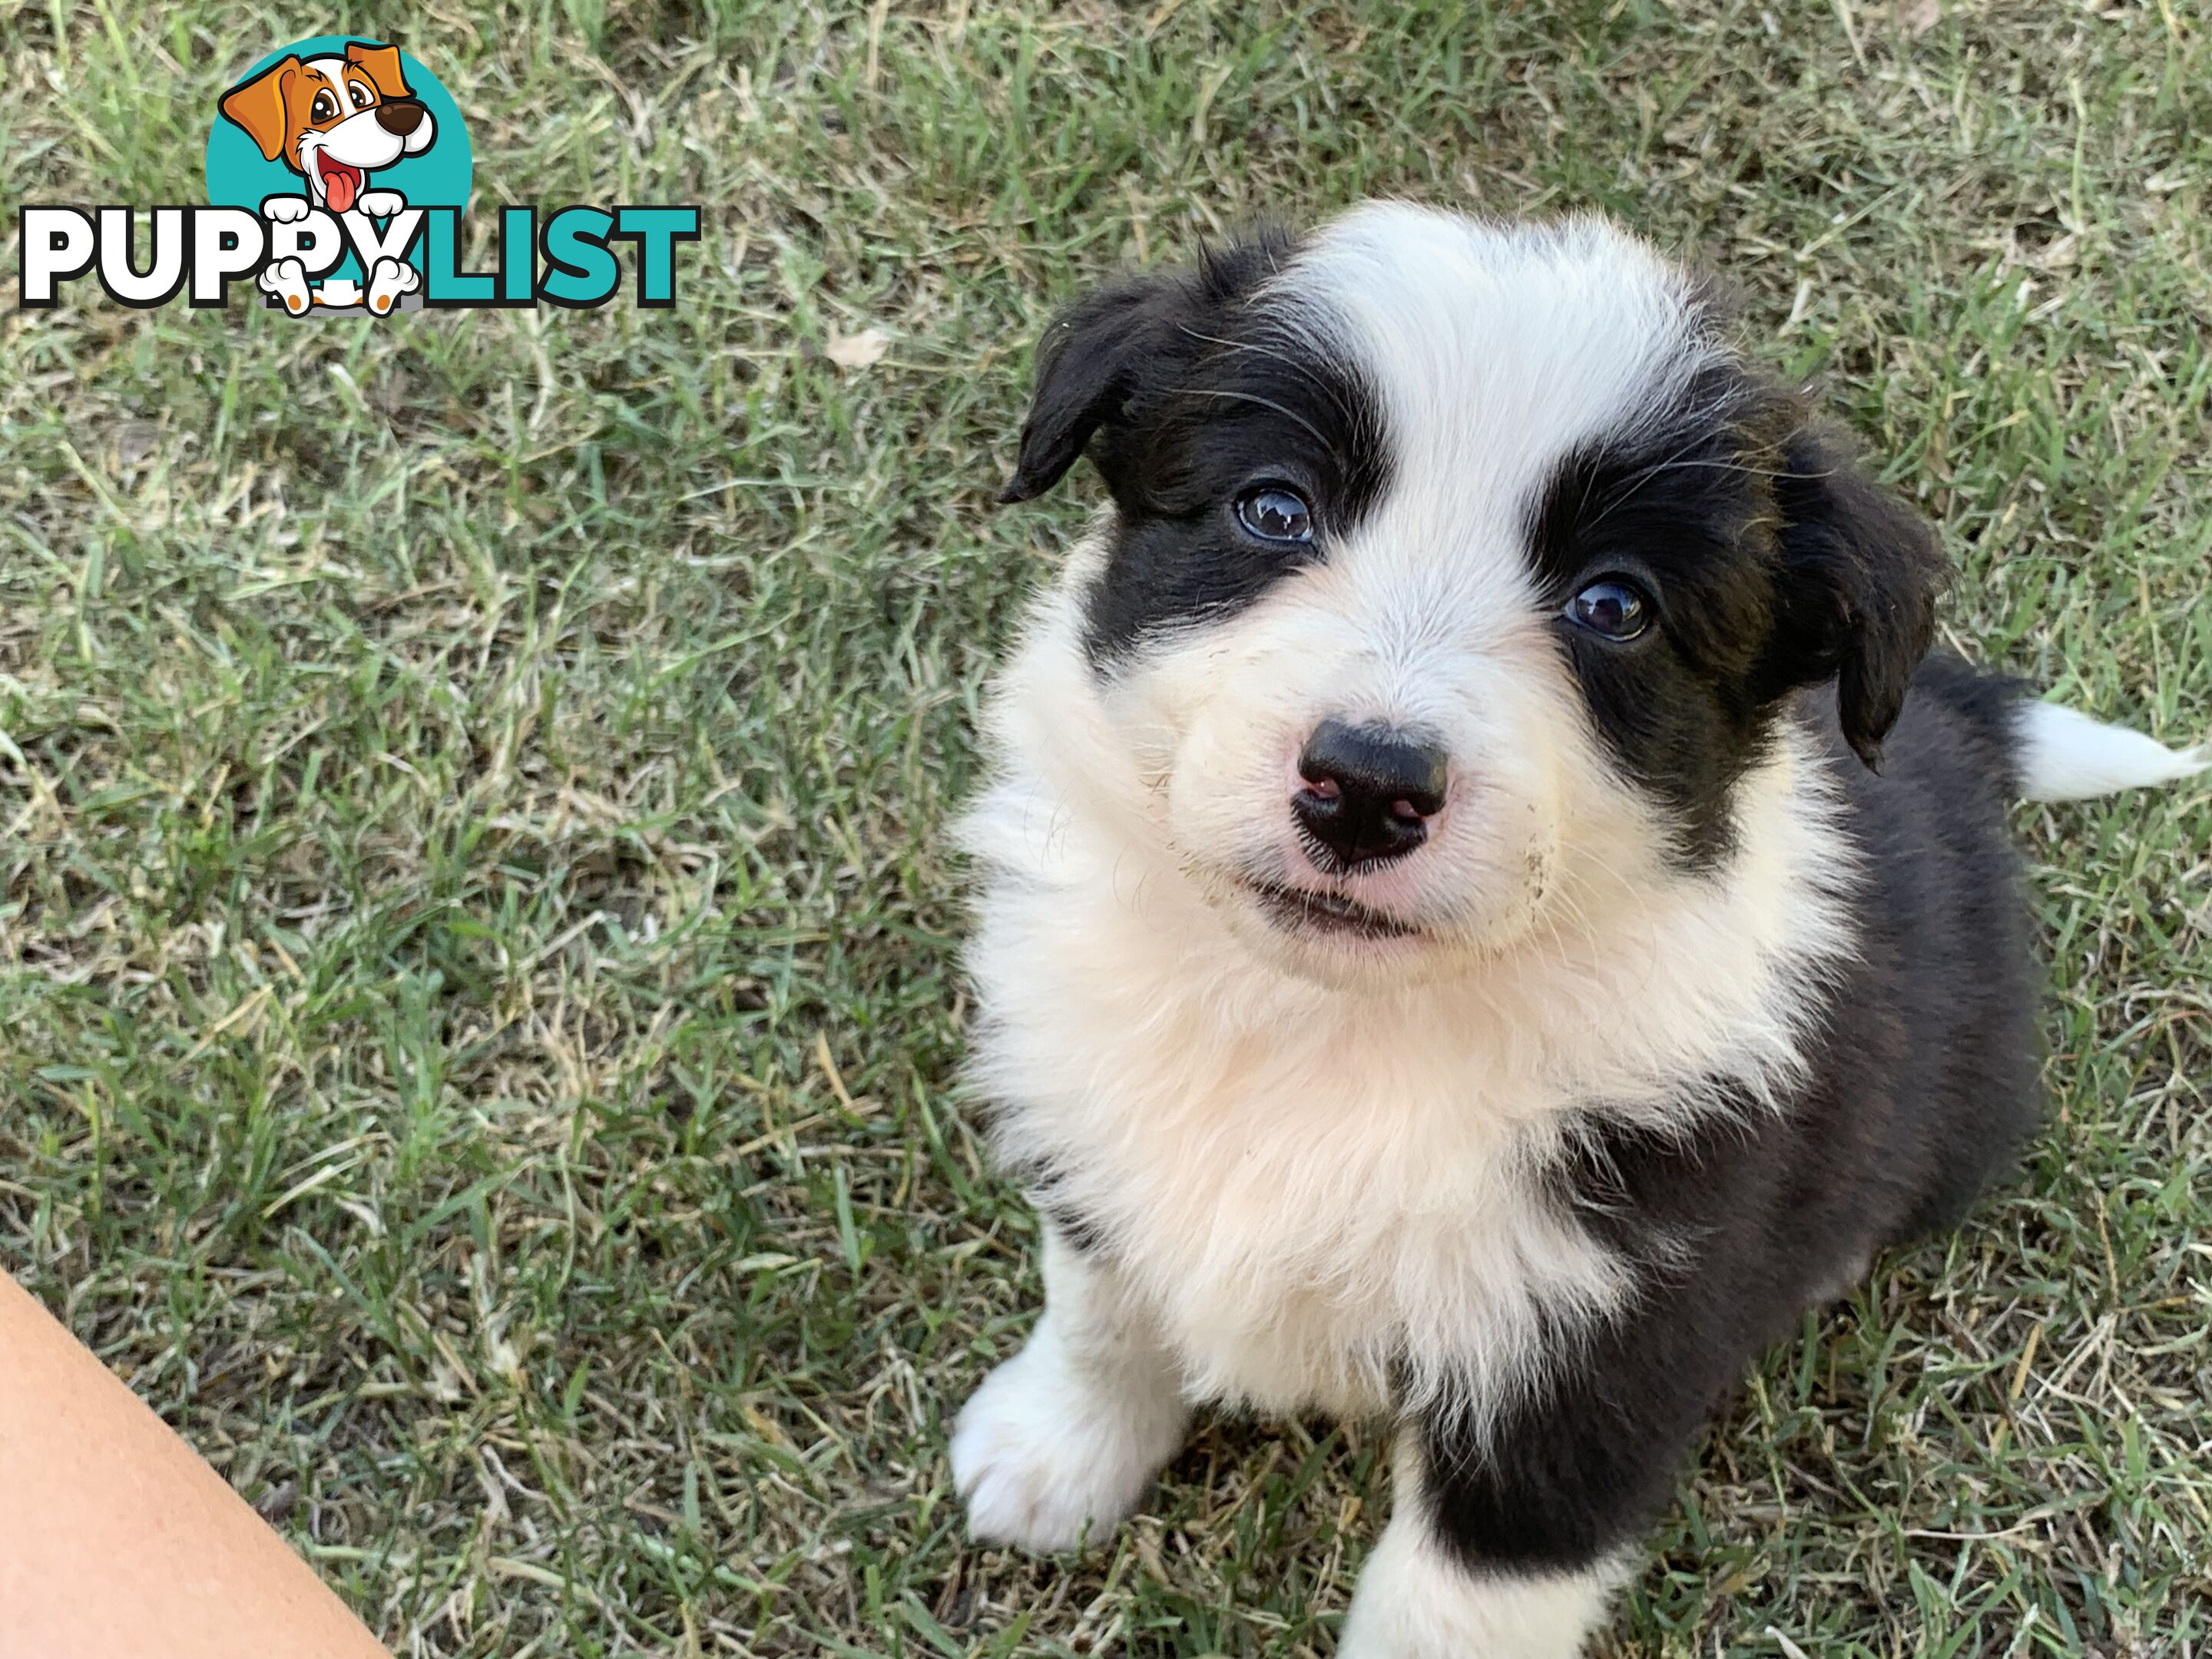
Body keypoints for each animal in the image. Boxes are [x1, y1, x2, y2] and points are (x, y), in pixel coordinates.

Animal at [942, 201, 2203, 1654]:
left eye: (1614, 603)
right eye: (1272, 508)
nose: (1366, 786)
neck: (1330, 1025)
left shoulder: (1603, 1326)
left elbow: (1461, 1598)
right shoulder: (1094, 1107)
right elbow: (1100, 1299)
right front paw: (1055, 1452)